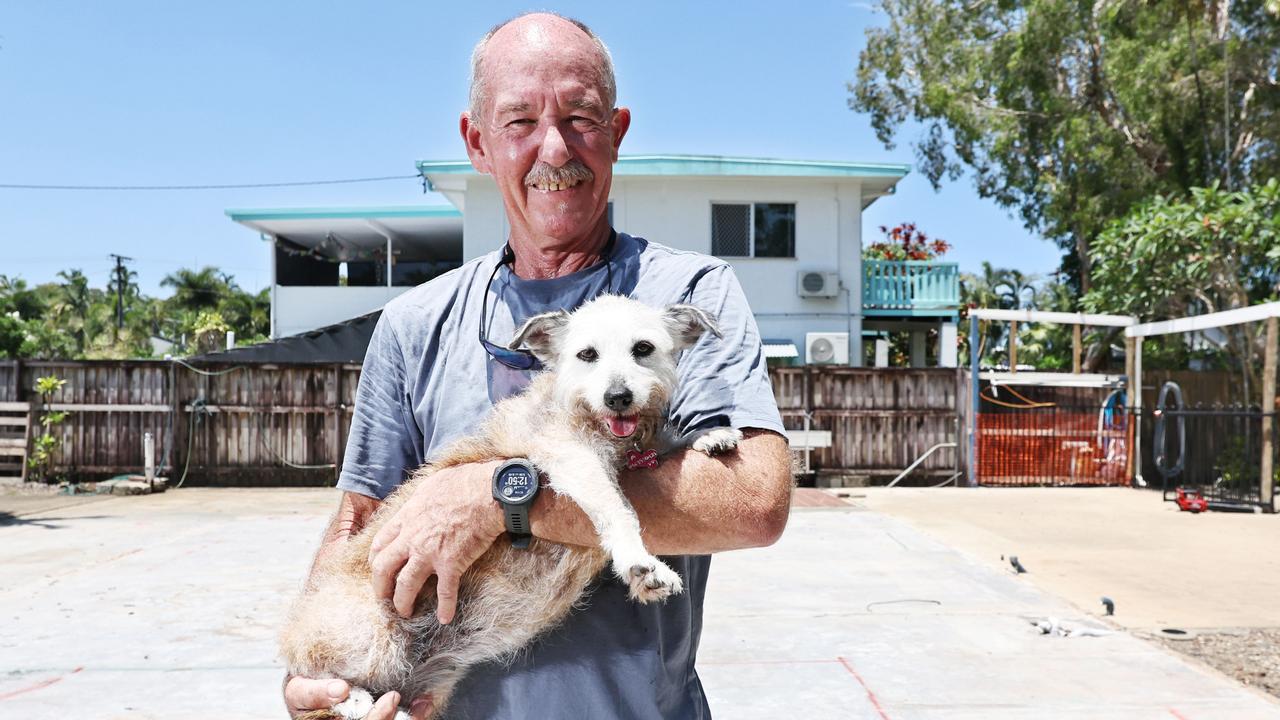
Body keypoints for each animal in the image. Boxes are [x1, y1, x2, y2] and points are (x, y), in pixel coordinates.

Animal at [280, 293, 742, 717]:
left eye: (643, 348)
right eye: (587, 354)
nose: (618, 397)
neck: (594, 423)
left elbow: (668, 444)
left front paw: (706, 435)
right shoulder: (571, 458)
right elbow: (618, 507)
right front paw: (639, 564)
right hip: (371, 637)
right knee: (323, 677)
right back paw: (354, 700)